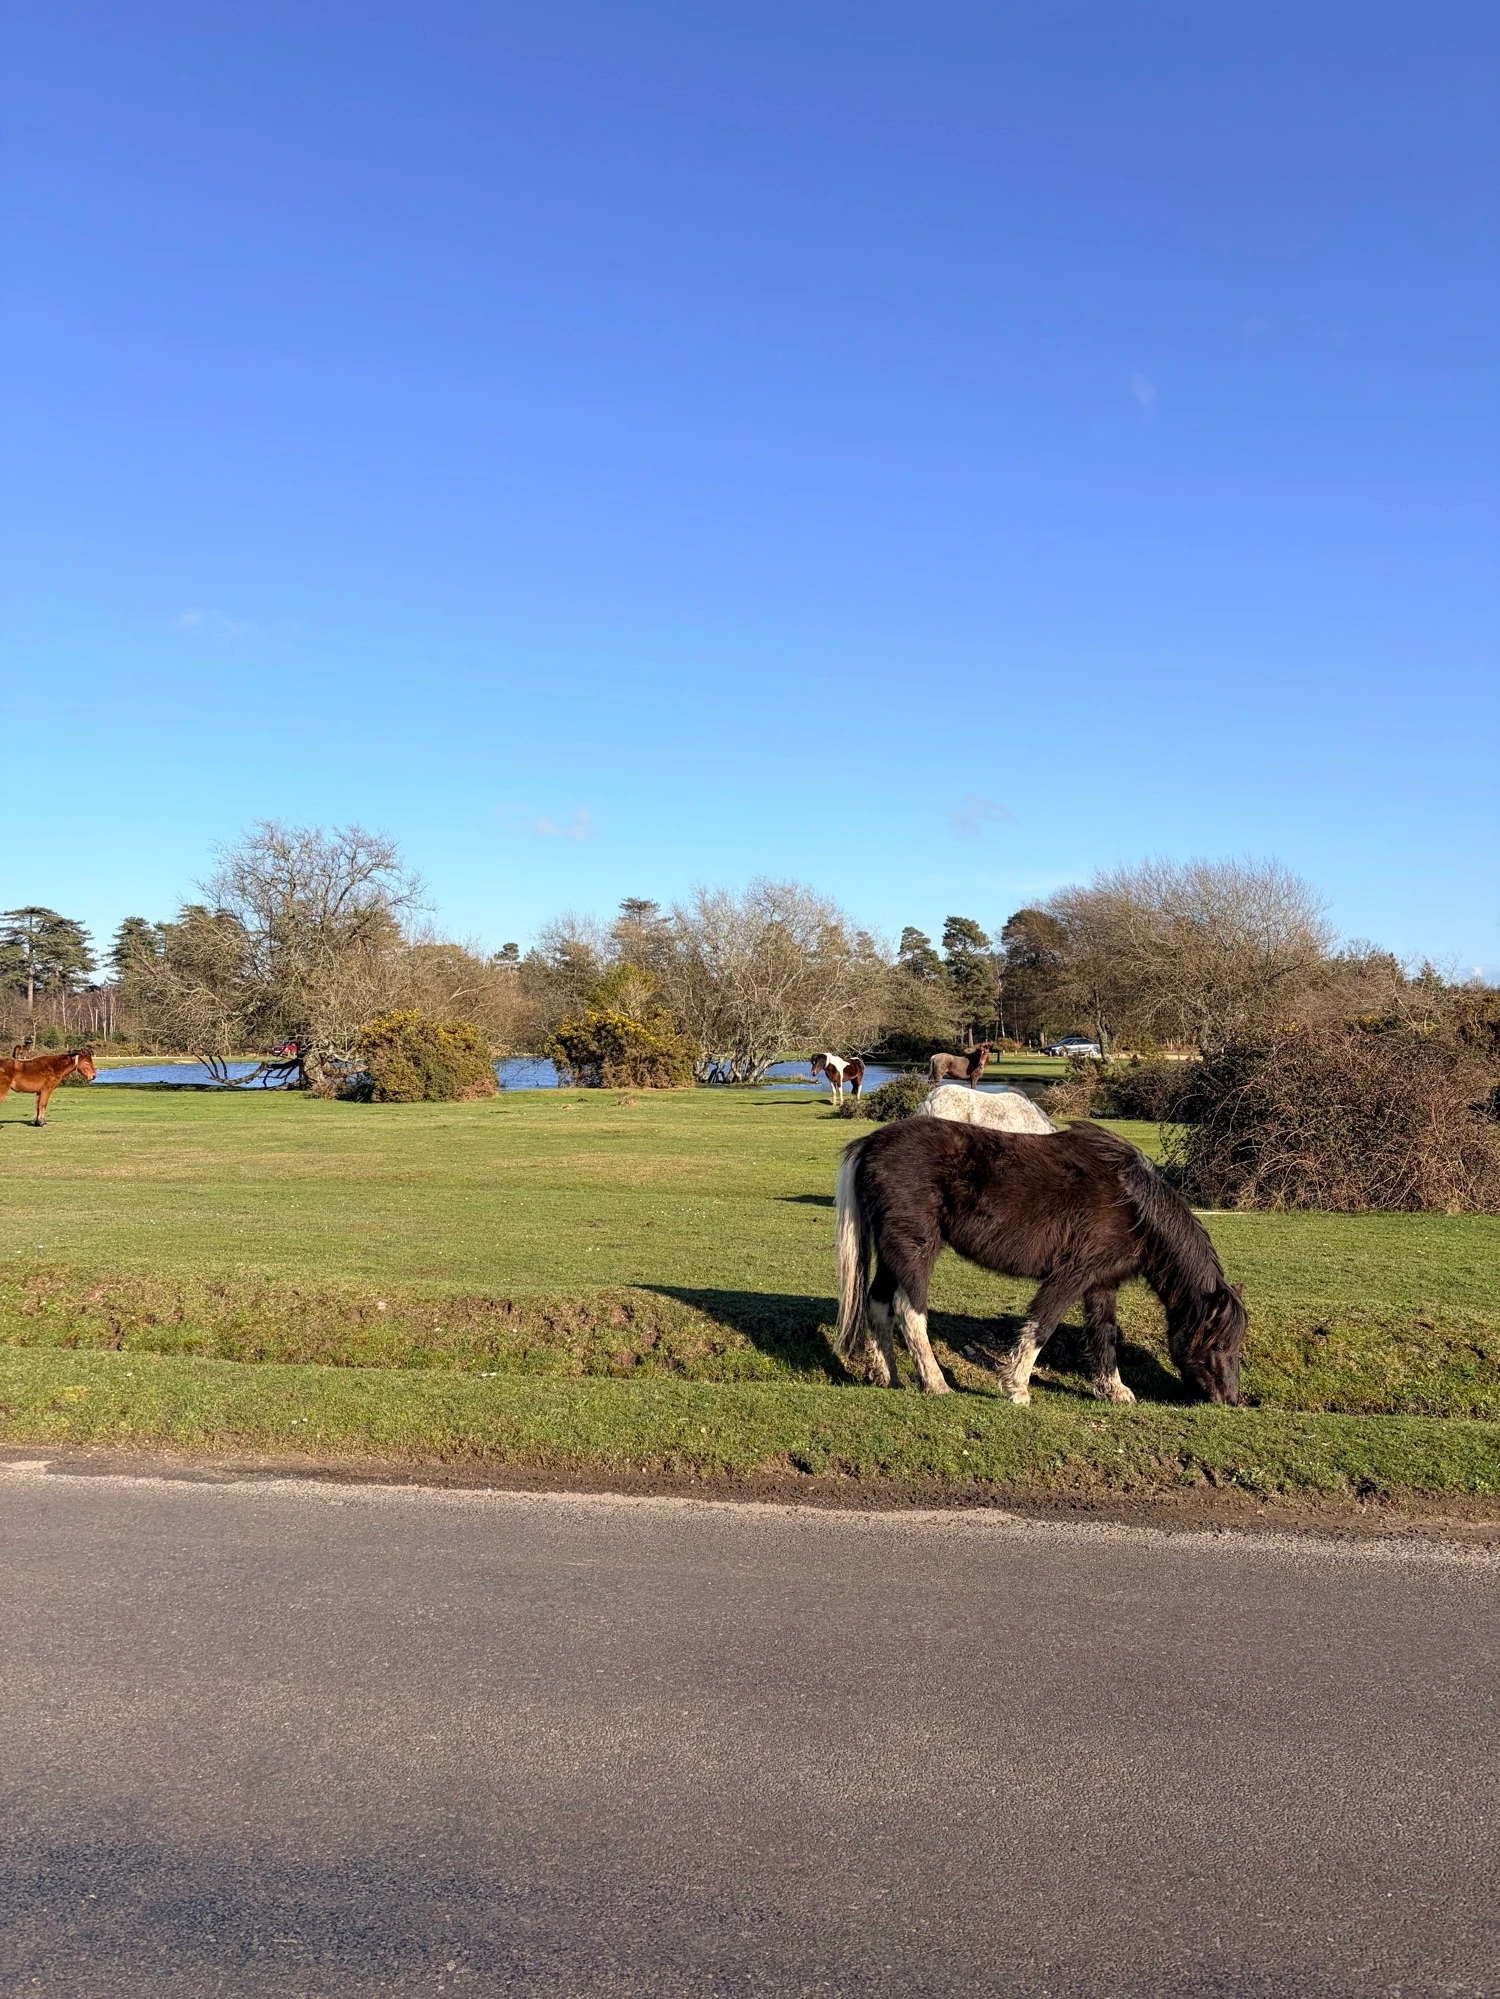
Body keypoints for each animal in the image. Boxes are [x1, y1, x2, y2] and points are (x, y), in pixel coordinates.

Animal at [834, 1116, 1246, 1405]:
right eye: (1219, 1344)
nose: (1230, 1400)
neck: (1133, 1205)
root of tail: (871, 1144)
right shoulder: (1071, 1275)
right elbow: (1042, 1326)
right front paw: (1016, 1388)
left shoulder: (1101, 1283)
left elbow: (1105, 1333)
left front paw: (1114, 1390)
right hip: (916, 1248)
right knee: (909, 1310)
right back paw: (936, 1384)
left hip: (892, 1254)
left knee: (878, 1305)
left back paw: (885, 1375)